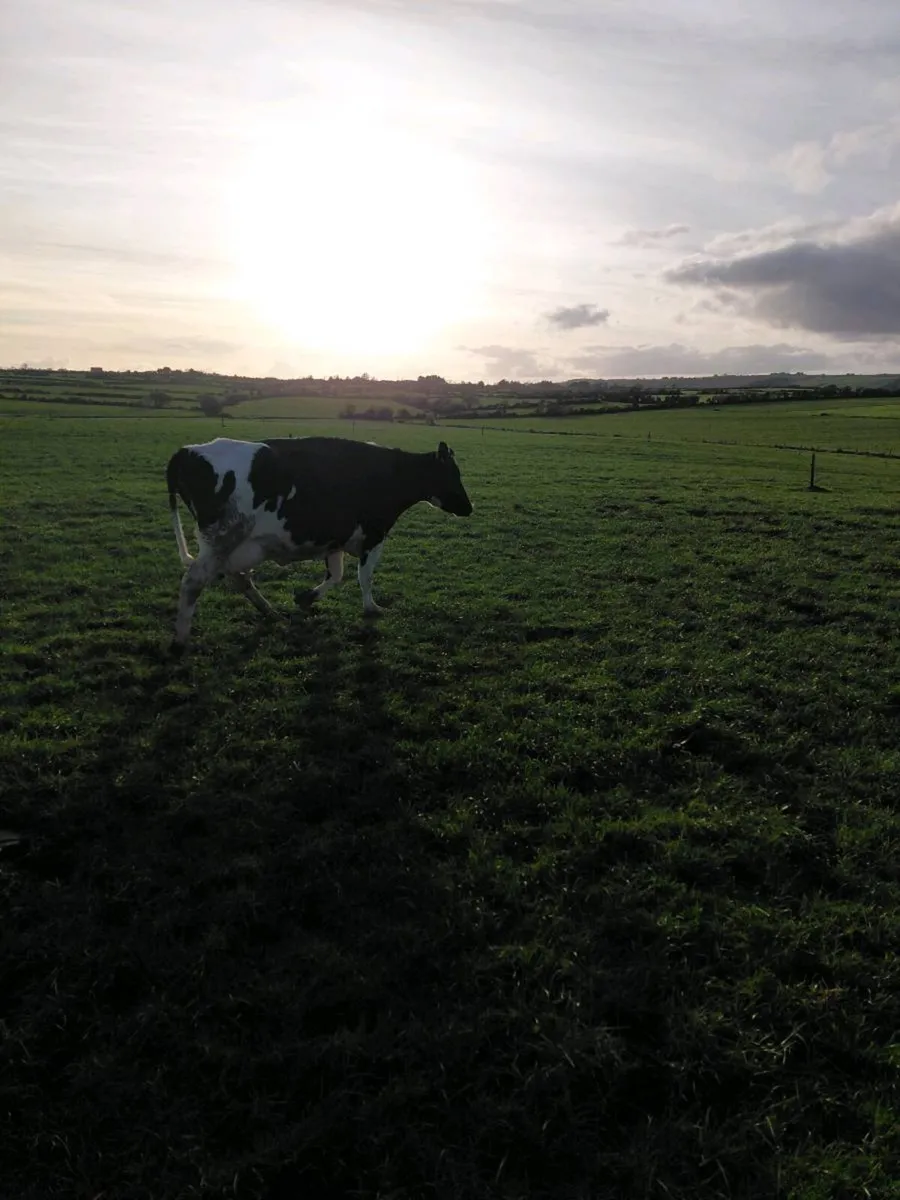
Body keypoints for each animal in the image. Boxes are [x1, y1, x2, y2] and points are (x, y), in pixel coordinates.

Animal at [164, 435, 473, 654]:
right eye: (452, 475)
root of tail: (187, 451)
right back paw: (181, 639)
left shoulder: (334, 540)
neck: (391, 475)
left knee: (238, 577)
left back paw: (270, 613)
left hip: (237, 545)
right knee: (194, 581)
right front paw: (372, 608)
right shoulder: (374, 534)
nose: (469, 508)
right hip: (222, 539)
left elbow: (336, 575)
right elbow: (364, 576)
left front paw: (307, 598)